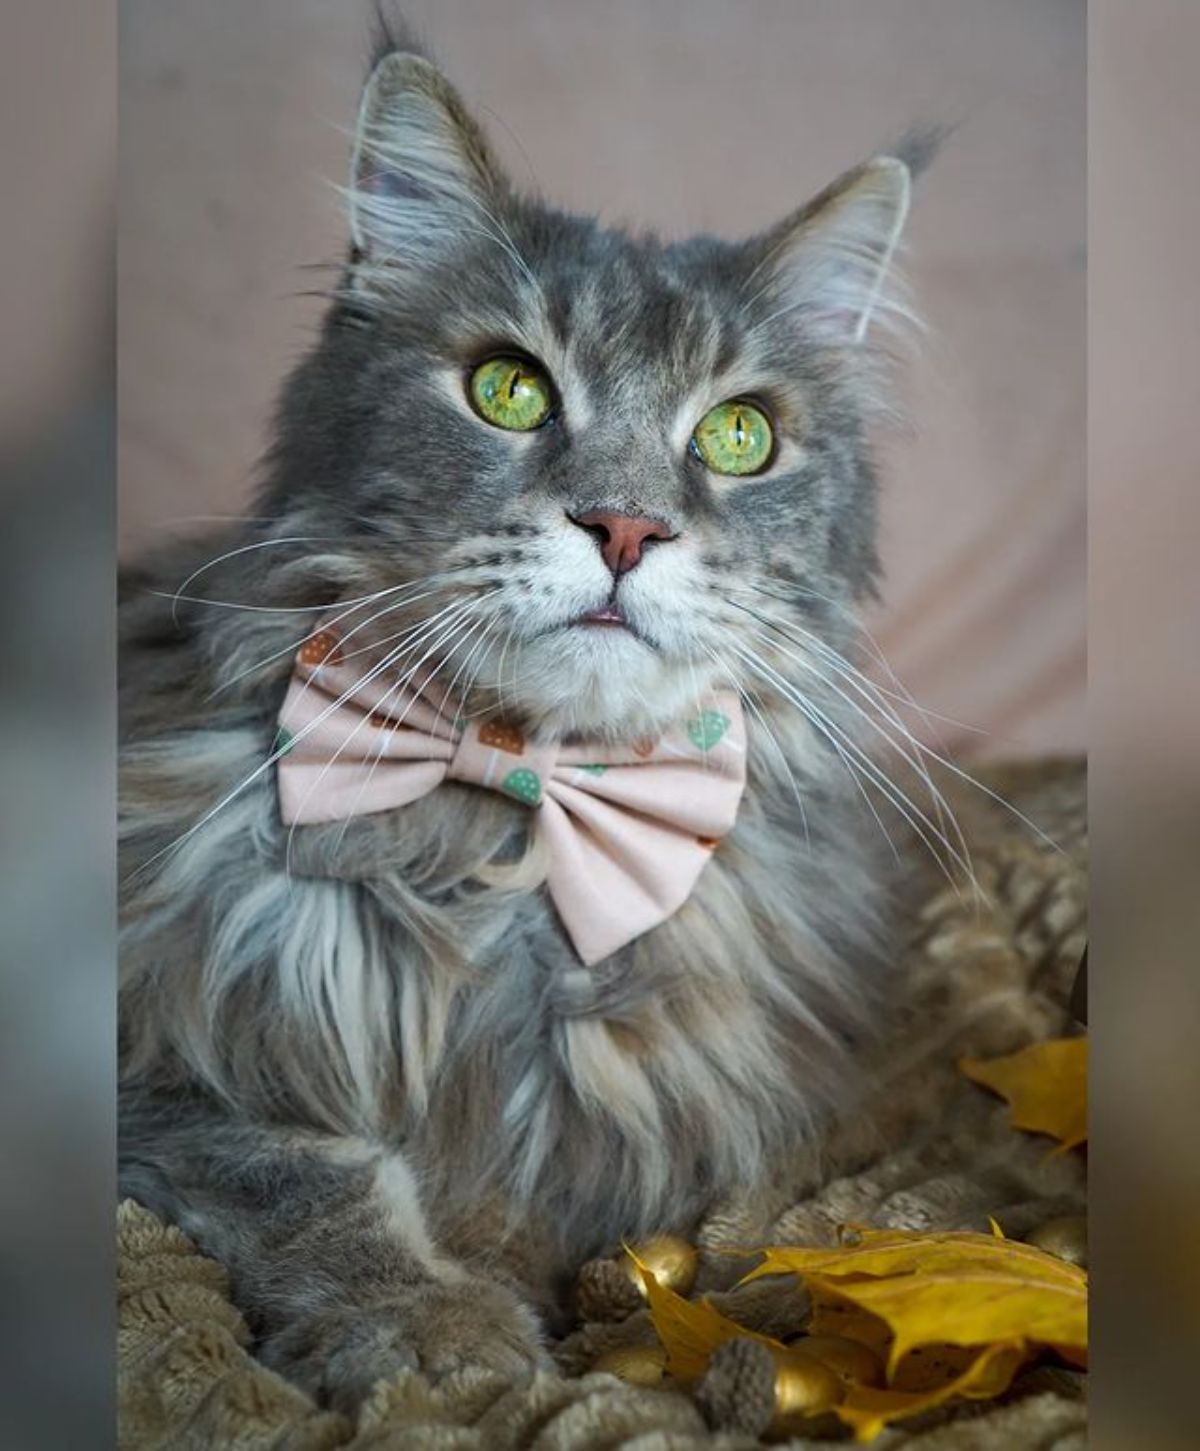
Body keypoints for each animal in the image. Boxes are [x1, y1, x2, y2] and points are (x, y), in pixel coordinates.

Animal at [121, 25, 946, 1416]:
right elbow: (307, 1167)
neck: (517, 835)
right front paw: (432, 1328)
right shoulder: (157, 1075)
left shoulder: (794, 1102)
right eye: (508, 390)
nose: (626, 525)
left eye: (740, 434)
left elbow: (784, 1226)